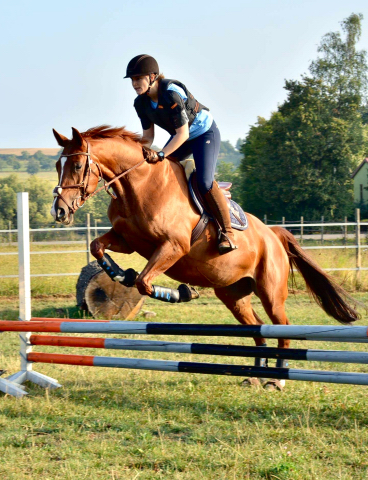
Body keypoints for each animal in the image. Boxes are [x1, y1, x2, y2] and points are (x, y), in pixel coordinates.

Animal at [51, 124, 360, 364]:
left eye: (76, 165)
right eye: (56, 165)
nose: (60, 211)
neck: (138, 185)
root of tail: (273, 234)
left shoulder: (173, 246)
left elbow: (144, 282)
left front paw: (182, 293)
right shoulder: (127, 240)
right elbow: (98, 247)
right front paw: (120, 275)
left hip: (271, 292)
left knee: (282, 328)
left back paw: (276, 379)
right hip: (233, 294)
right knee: (258, 328)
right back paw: (255, 377)